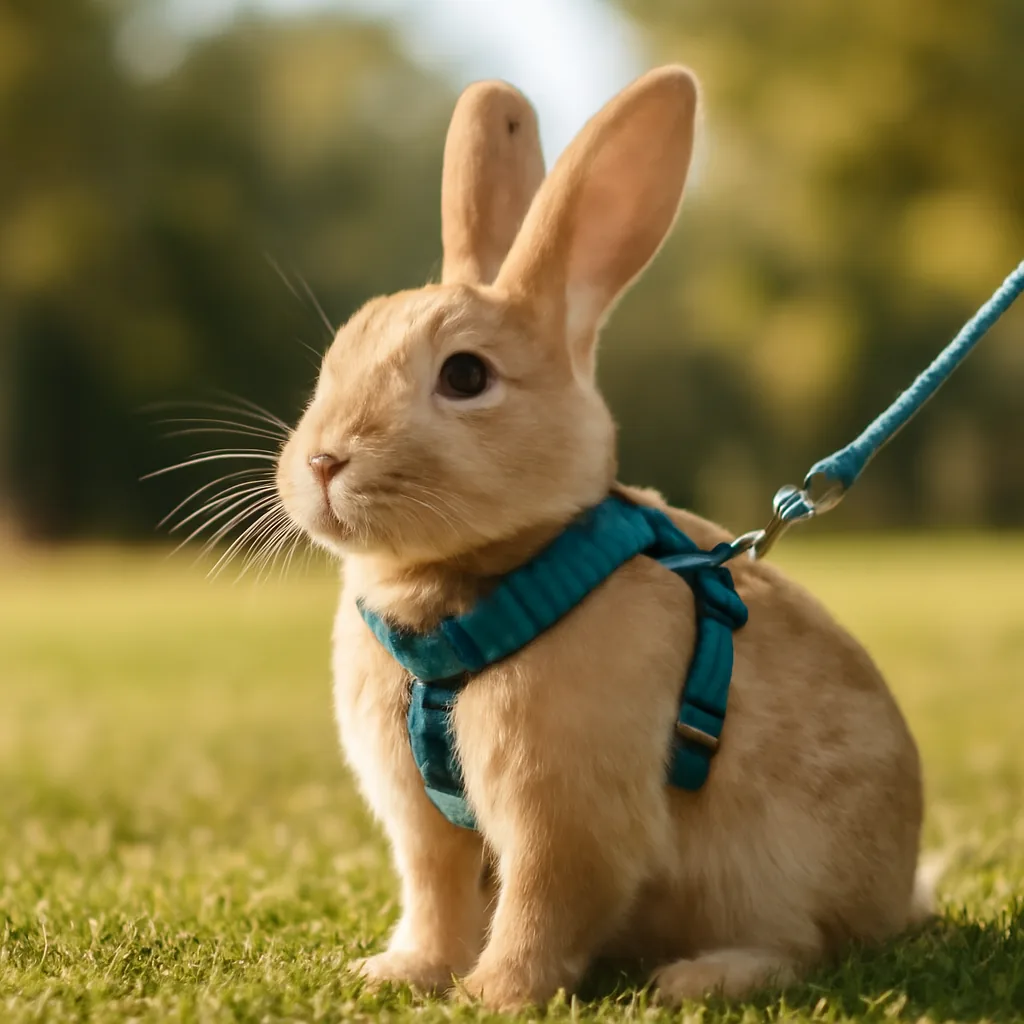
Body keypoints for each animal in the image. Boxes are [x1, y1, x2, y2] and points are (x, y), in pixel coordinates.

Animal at [275, 66, 926, 1010]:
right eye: (335, 360)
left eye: (465, 376)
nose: (322, 462)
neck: (490, 581)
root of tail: (899, 890)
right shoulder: (425, 823)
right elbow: (435, 897)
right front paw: (398, 974)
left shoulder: (568, 812)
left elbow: (545, 905)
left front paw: (491, 998)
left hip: (772, 879)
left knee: (805, 948)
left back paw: (696, 978)